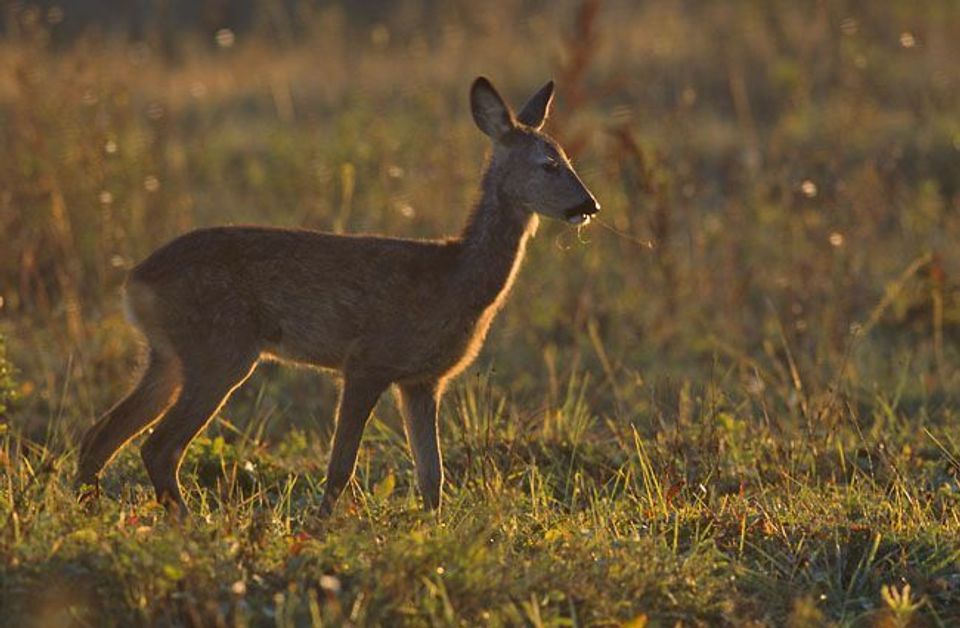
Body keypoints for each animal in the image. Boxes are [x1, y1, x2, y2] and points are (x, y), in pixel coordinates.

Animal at [75, 76, 600, 517]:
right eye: (549, 164)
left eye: (568, 159)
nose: (589, 204)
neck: (455, 278)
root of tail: (135, 282)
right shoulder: (367, 361)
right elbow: (340, 467)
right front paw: (321, 528)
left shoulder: (423, 380)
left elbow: (432, 475)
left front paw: (435, 530)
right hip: (218, 350)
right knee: (158, 445)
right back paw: (188, 523)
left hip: (168, 355)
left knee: (101, 433)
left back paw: (90, 512)